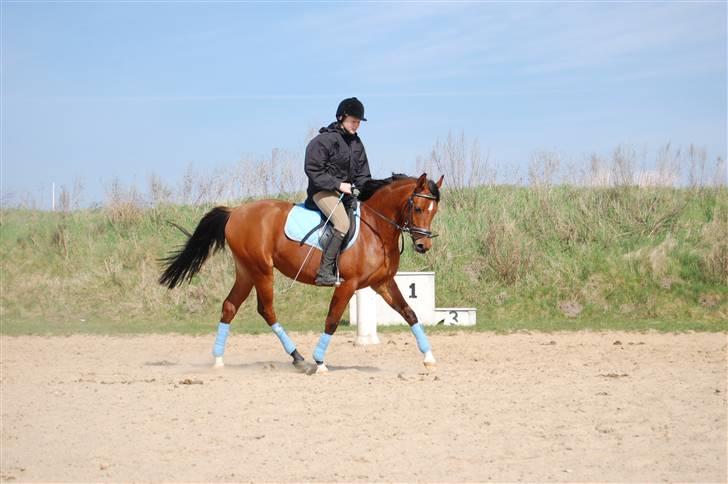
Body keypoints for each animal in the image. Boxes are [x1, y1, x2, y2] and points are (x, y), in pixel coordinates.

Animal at [159, 172, 444, 372]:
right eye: (417, 208)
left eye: (434, 211)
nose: (423, 245)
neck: (375, 229)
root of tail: (235, 211)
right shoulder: (347, 284)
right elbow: (331, 320)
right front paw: (320, 362)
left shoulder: (383, 283)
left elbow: (410, 313)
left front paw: (429, 357)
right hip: (262, 270)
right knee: (266, 310)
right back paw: (299, 359)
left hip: (246, 271)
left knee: (230, 306)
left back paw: (218, 360)